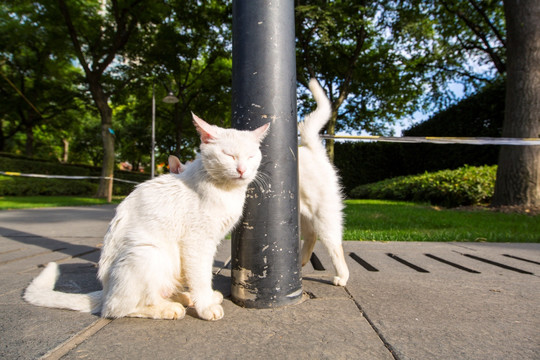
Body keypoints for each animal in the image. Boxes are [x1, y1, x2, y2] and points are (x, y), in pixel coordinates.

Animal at [25, 115, 270, 320]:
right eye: (229, 155)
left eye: (251, 156)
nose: (242, 169)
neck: (226, 192)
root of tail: (104, 290)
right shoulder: (197, 242)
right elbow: (200, 275)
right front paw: (206, 305)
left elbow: (203, 275)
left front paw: (207, 297)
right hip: (147, 253)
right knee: (117, 309)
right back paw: (169, 309)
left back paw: (182, 298)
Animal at [171, 79, 352, 286]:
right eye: (228, 155)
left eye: (250, 156)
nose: (241, 170)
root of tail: (310, 148)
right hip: (301, 213)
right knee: (311, 235)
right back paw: (301, 262)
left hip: (323, 212)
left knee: (334, 243)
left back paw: (341, 276)